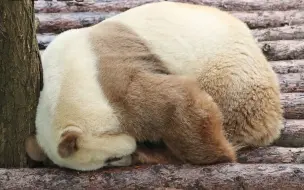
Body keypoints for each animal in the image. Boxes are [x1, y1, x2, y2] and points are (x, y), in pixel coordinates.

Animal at [25, 1, 284, 171]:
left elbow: (176, 103)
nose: (127, 155)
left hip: (231, 72)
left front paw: (218, 154)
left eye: (108, 160)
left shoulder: (111, 80)